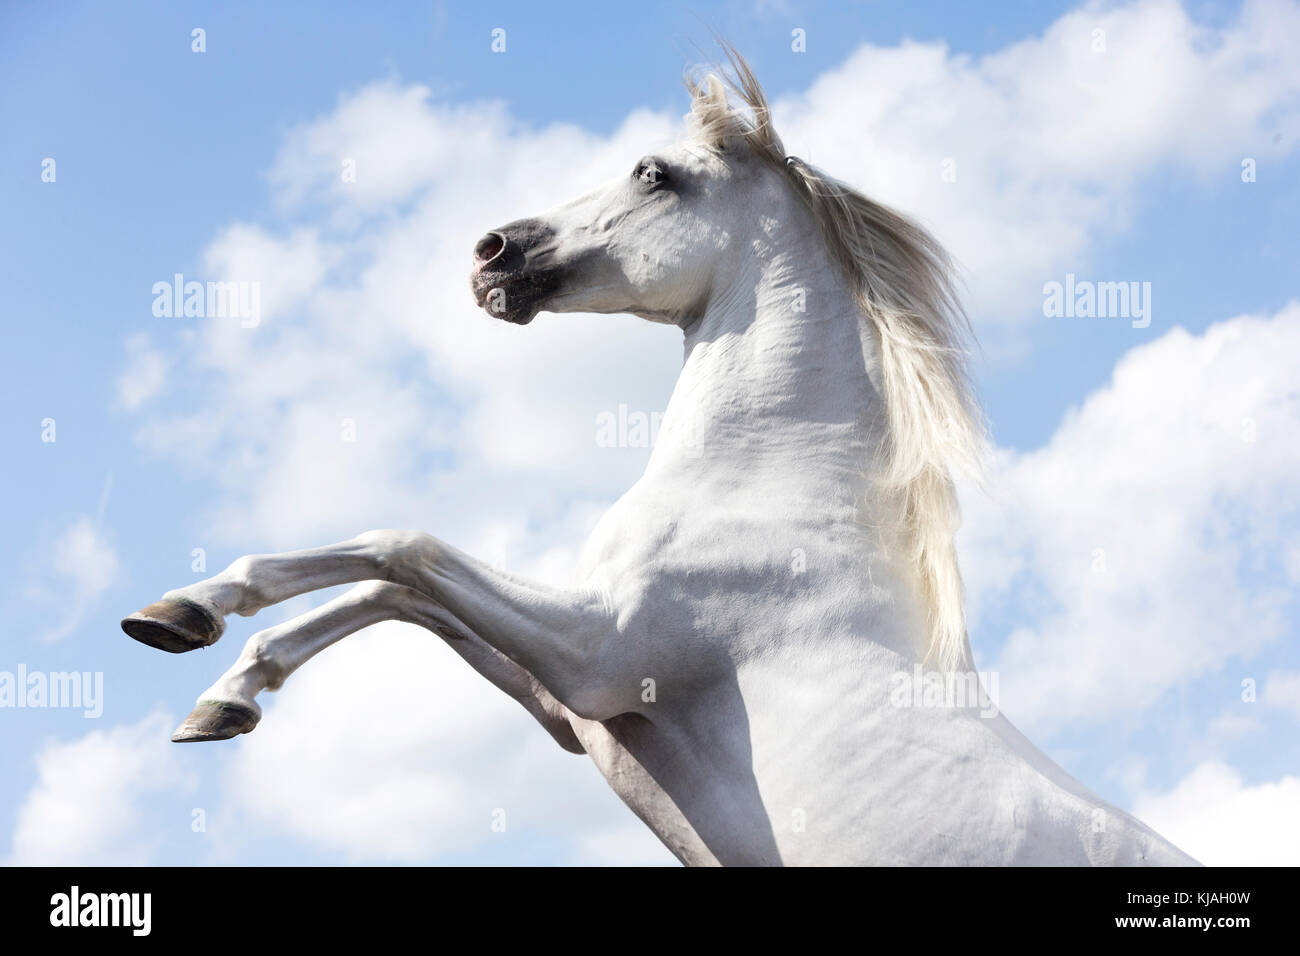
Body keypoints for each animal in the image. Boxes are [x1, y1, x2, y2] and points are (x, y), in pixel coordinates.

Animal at [124, 50, 1196, 868]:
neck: (768, 487)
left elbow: (405, 547)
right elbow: (395, 593)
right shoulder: (569, 703)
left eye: (654, 172)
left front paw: (198, 622)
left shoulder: (599, 655)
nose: (490, 253)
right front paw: (210, 668)